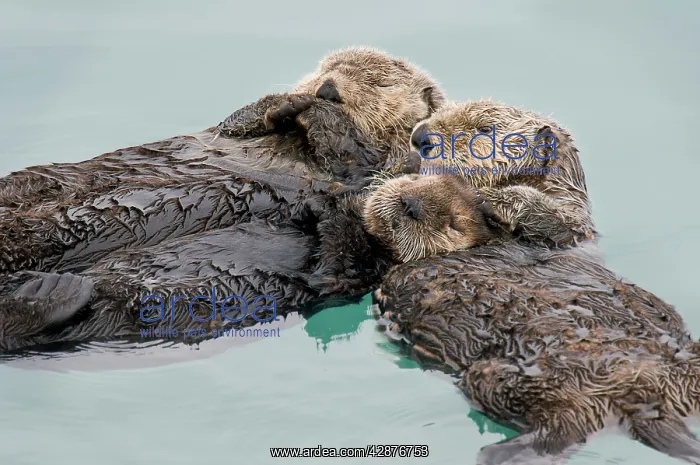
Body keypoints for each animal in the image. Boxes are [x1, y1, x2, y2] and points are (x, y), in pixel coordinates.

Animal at [0, 46, 444, 273]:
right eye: (328, 67)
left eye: (379, 83)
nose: (328, 87)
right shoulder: (233, 127)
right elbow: (234, 123)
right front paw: (285, 102)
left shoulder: (375, 165)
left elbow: (354, 161)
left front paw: (316, 110)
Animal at [365, 174, 696, 464]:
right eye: (414, 181)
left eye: (454, 223)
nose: (410, 204)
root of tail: (647, 402)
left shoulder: (560, 242)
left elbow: (561, 226)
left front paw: (494, 200)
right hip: (501, 379)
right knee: (566, 425)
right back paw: (502, 454)